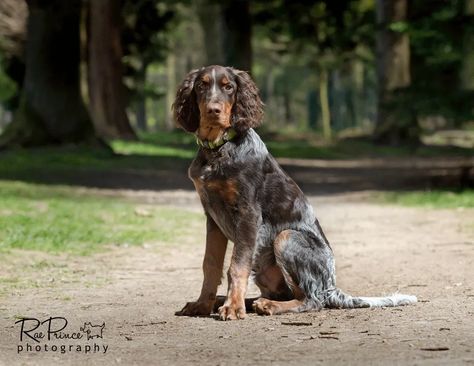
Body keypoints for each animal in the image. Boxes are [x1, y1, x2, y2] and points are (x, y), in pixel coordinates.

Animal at [172, 66, 416, 320]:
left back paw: (266, 305)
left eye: (229, 87)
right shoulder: (212, 216)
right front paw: (202, 304)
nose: (213, 110)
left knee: (312, 300)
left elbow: (236, 265)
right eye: (201, 85)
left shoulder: (248, 212)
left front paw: (233, 307)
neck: (218, 150)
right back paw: (244, 301)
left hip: (286, 237)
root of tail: (332, 288)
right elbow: (210, 264)